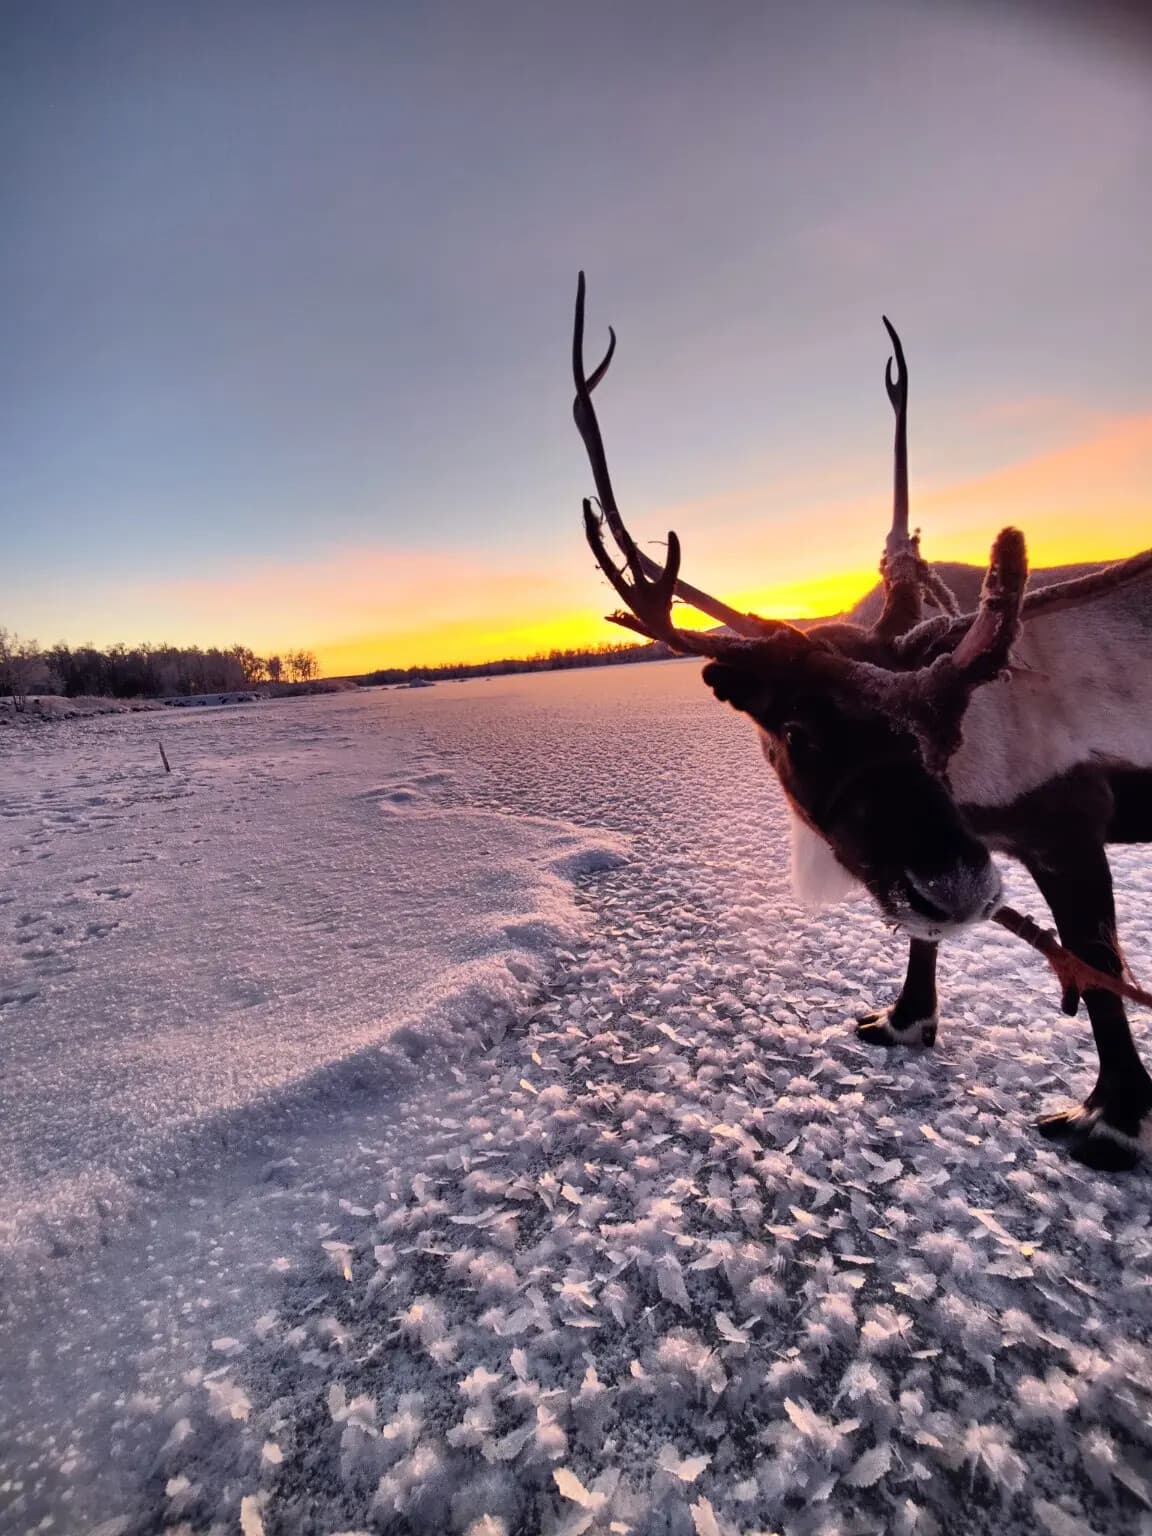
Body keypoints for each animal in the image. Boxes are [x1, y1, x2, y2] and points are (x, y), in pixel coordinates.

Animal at [571, 272, 1152, 1171]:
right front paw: (907, 1020)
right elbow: (925, 932)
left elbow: (1098, 971)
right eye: (798, 732)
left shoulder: (1068, 822)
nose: (965, 885)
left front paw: (1112, 1121)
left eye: (946, 725)